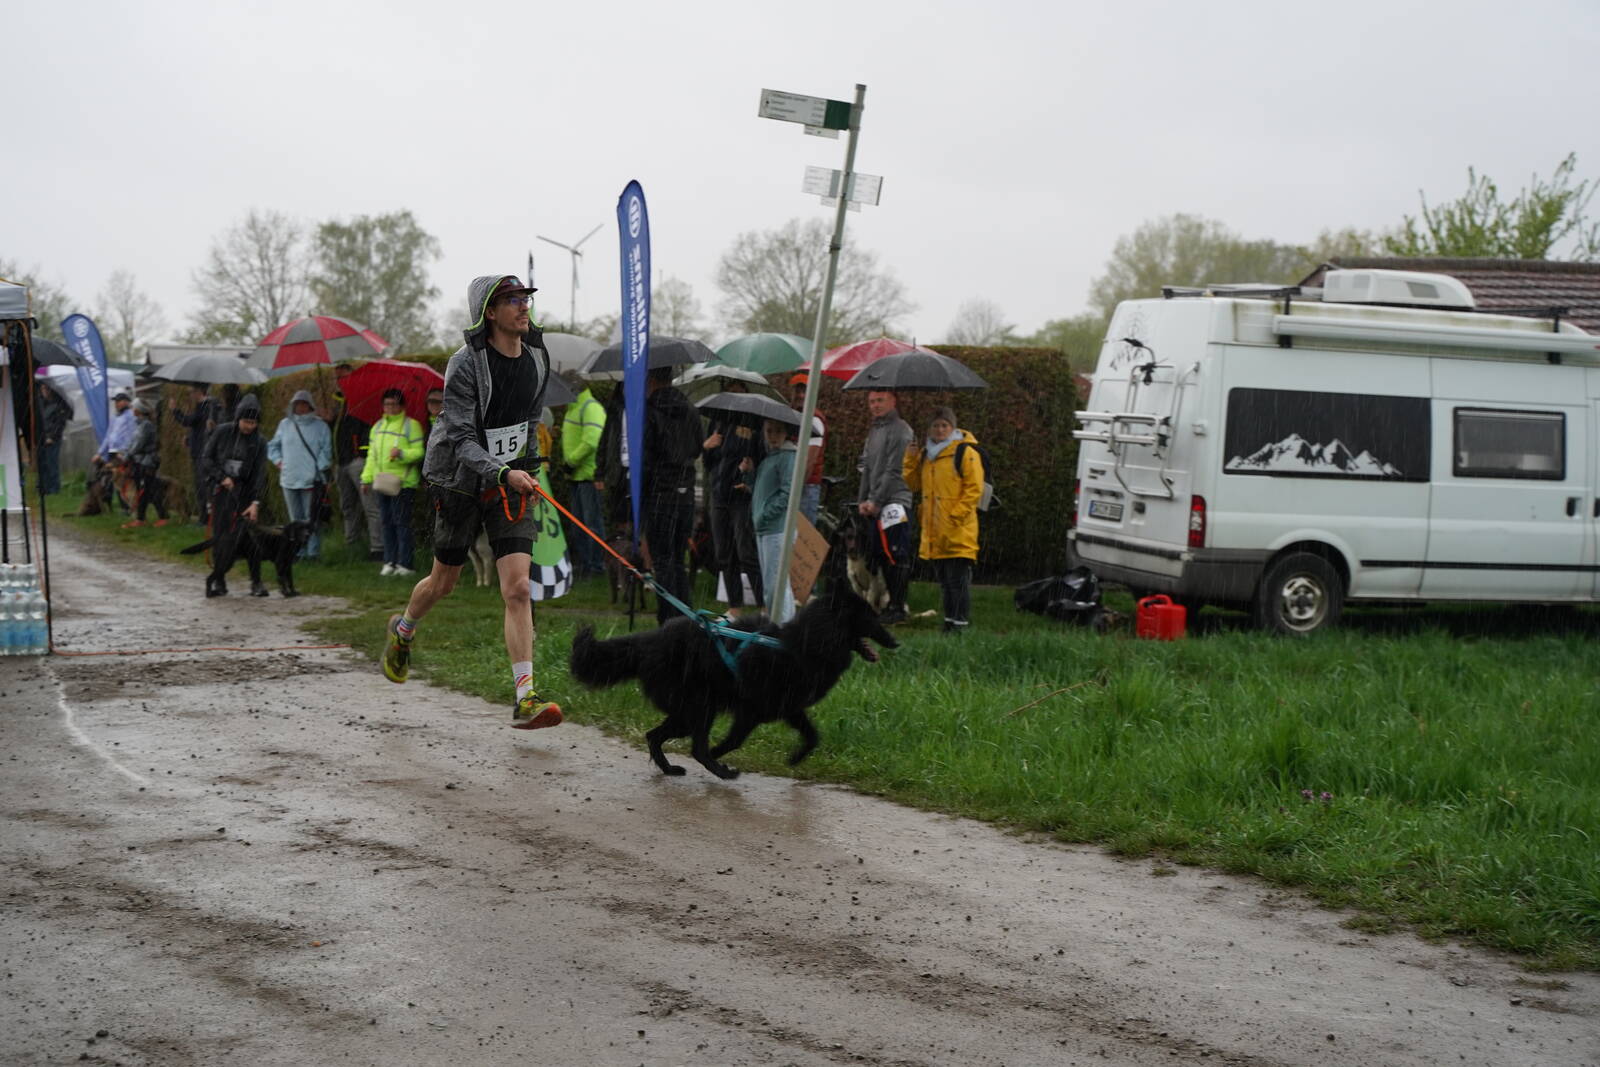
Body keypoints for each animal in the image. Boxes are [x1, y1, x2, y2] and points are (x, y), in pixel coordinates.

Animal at [180, 520, 313, 597]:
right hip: (226, 562)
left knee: (217, 576)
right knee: (210, 577)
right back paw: (210, 594)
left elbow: (290, 580)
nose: (307, 535)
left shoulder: (288, 564)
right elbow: (282, 579)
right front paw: (286, 593)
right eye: (300, 528)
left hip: (229, 561)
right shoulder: (280, 563)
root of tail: (223, 535)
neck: (288, 537)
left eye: (307, 528)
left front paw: (293, 592)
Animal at [569, 578, 899, 779]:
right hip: (699, 708)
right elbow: (735, 740)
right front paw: (719, 754)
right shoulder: (751, 710)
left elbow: (812, 735)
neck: (804, 644)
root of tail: (648, 641)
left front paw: (796, 759)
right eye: (870, 617)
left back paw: (671, 769)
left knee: (653, 736)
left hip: (688, 711)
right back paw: (719, 770)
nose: (896, 642)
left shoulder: (788, 708)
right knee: (695, 747)